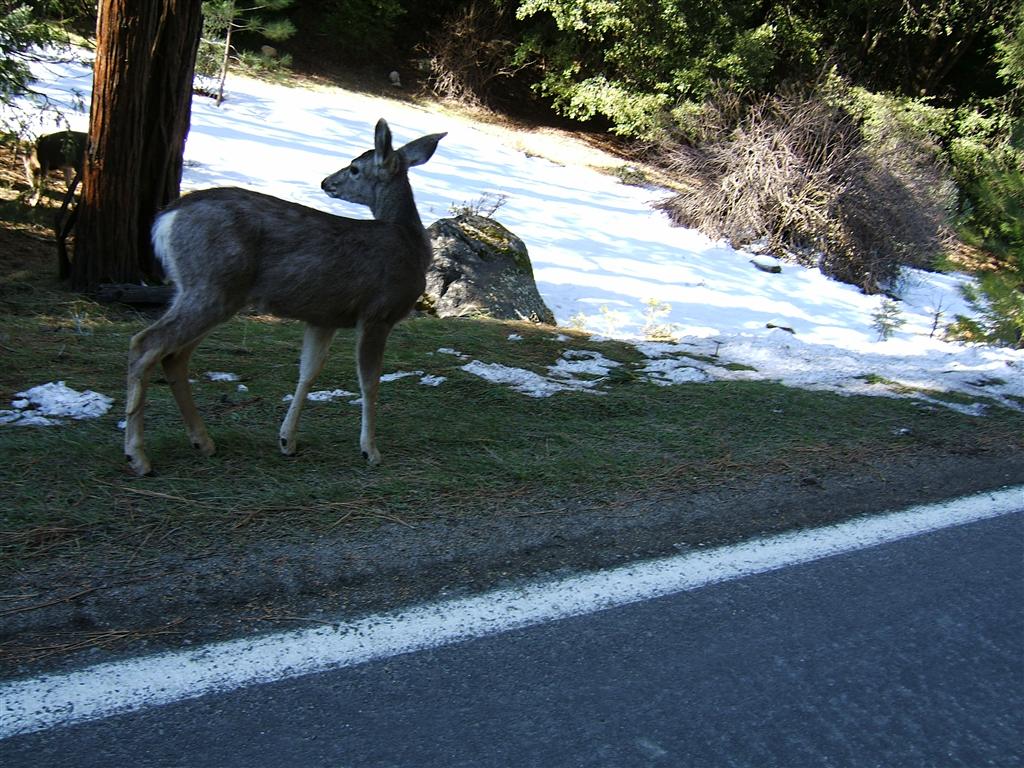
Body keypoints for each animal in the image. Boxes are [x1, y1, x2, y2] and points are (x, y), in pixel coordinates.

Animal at [125, 118, 446, 479]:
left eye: (354, 168)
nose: (326, 182)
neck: (411, 242)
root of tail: (166, 219)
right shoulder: (378, 312)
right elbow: (369, 382)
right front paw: (371, 451)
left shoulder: (324, 317)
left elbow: (308, 372)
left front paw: (286, 440)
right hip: (211, 286)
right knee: (146, 343)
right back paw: (138, 455)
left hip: (204, 291)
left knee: (174, 356)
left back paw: (202, 442)